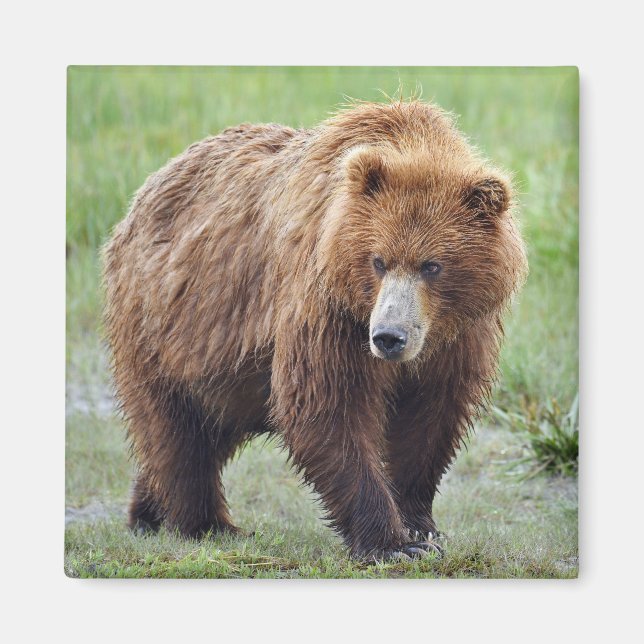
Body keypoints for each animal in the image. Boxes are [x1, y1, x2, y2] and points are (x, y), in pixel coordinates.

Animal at [102, 99, 527, 561]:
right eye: (378, 261)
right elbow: (326, 405)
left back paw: (146, 511)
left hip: (227, 370)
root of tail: (140, 197)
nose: (388, 337)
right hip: (166, 325)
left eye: (432, 265)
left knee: (203, 428)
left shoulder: (457, 333)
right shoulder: (327, 307)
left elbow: (431, 418)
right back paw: (207, 524)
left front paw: (421, 526)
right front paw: (391, 543)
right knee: (177, 432)